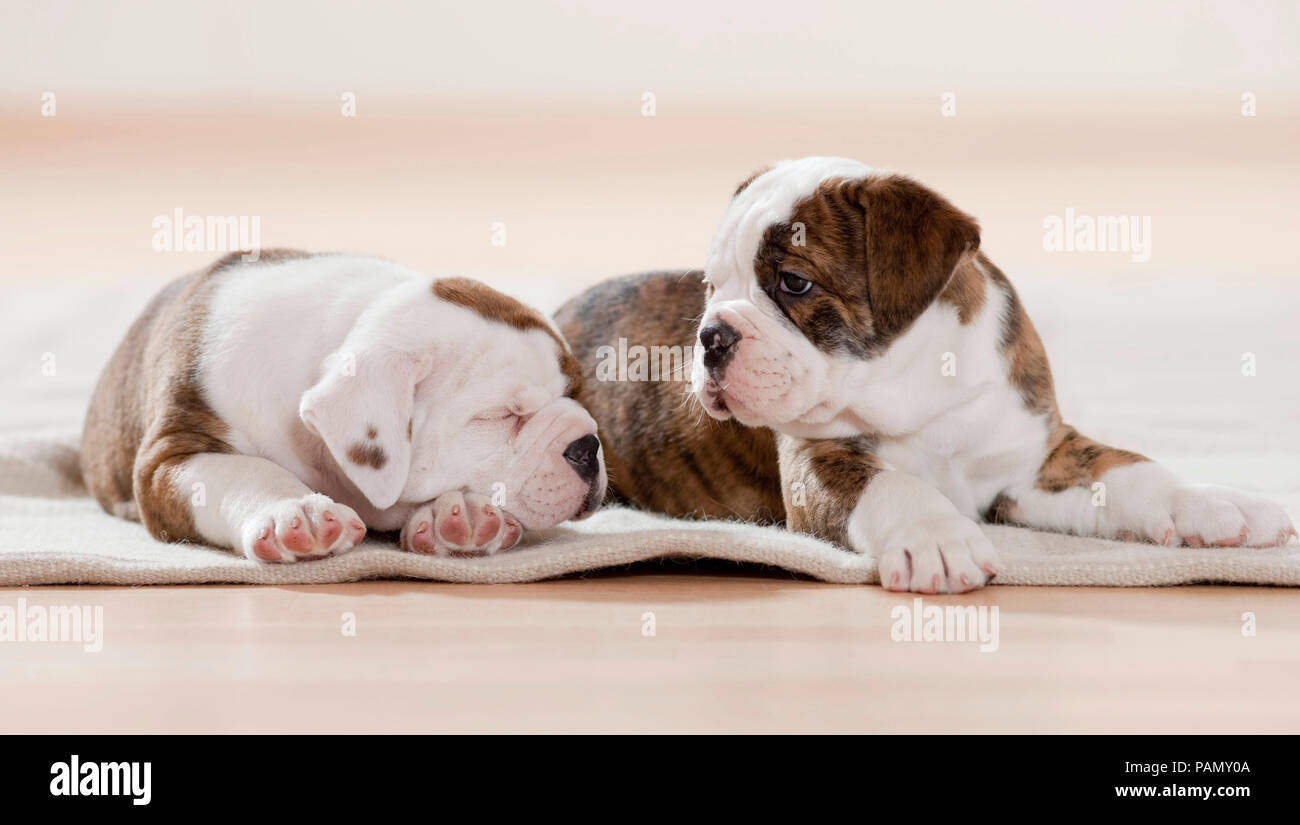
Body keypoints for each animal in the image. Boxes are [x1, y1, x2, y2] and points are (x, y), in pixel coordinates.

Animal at [81, 250, 603, 561]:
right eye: (501, 416)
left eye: (575, 394)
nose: (588, 447)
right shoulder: (168, 456)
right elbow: (245, 470)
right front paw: (296, 511)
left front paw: (462, 512)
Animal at [556, 156, 1289, 595]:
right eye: (711, 287)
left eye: (795, 283)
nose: (710, 336)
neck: (908, 384)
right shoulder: (818, 460)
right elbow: (889, 484)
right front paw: (934, 537)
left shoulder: (1035, 459)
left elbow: (1128, 469)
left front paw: (1213, 503)